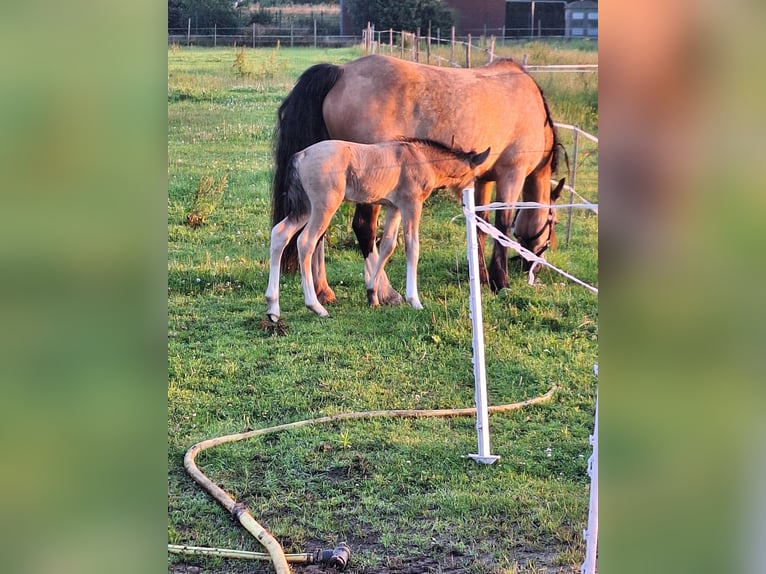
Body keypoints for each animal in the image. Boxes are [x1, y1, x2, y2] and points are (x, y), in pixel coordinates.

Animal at [268, 138, 488, 322]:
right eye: (476, 176)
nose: (472, 202)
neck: (422, 159)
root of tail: (301, 155)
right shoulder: (411, 205)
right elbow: (412, 247)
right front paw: (414, 300)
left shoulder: (394, 207)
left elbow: (388, 246)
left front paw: (372, 294)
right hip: (324, 207)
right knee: (305, 242)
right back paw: (315, 306)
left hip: (305, 209)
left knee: (280, 234)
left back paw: (273, 308)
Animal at [272, 54, 568, 306]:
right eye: (552, 223)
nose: (534, 266)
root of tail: (341, 72)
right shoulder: (511, 174)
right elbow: (502, 226)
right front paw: (501, 281)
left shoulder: (482, 180)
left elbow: (480, 225)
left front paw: (482, 278)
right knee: (363, 228)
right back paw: (384, 292)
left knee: (317, 235)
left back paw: (323, 290)